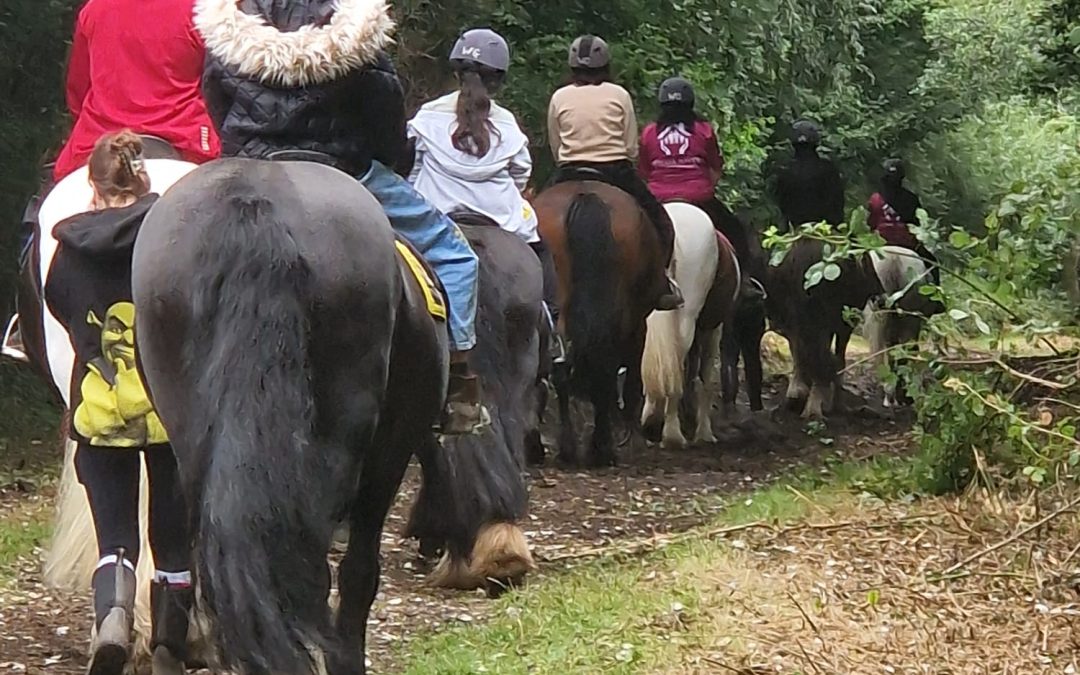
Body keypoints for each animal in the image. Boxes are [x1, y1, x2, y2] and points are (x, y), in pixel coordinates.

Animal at [529, 179, 665, 466]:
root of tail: (585, 196)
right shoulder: (639, 325)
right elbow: (631, 379)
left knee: (563, 369)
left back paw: (568, 448)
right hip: (622, 317)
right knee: (604, 365)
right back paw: (600, 448)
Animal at [639, 203, 743, 449]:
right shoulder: (713, 328)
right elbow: (705, 376)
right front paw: (704, 431)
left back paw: (651, 417)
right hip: (689, 317)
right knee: (678, 358)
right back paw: (671, 433)